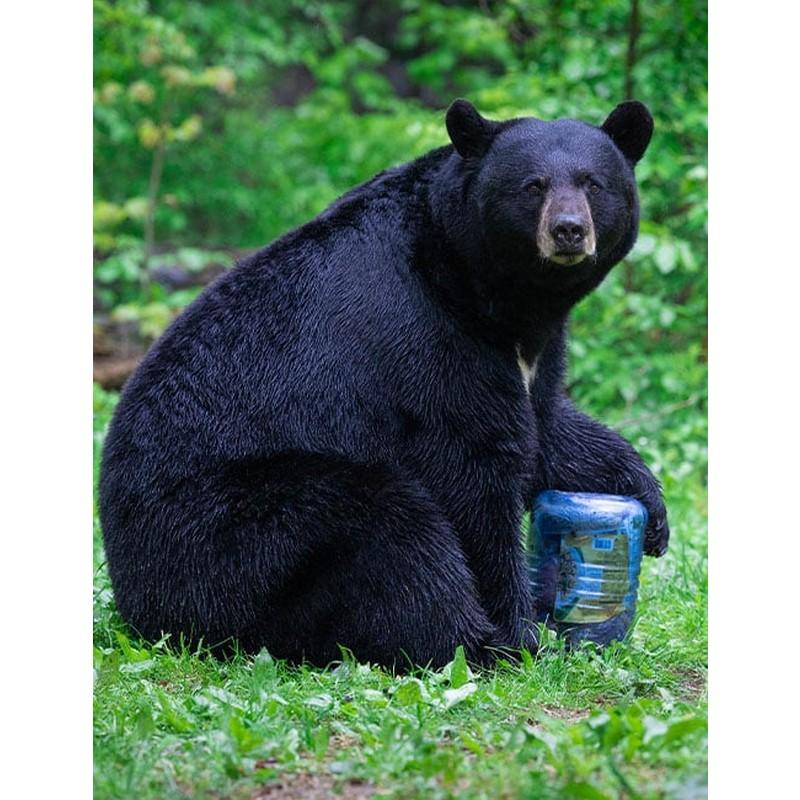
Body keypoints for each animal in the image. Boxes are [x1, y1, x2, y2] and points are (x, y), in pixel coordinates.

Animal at [99, 98, 669, 670]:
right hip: (229, 531)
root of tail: (136, 598)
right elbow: (473, 467)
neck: (490, 291)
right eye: (532, 185)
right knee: (388, 527)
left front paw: (649, 507)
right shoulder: (429, 336)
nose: (569, 230)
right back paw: (472, 641)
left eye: (593, 183)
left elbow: (547, 424)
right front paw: (519, 633)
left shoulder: (533, 348)